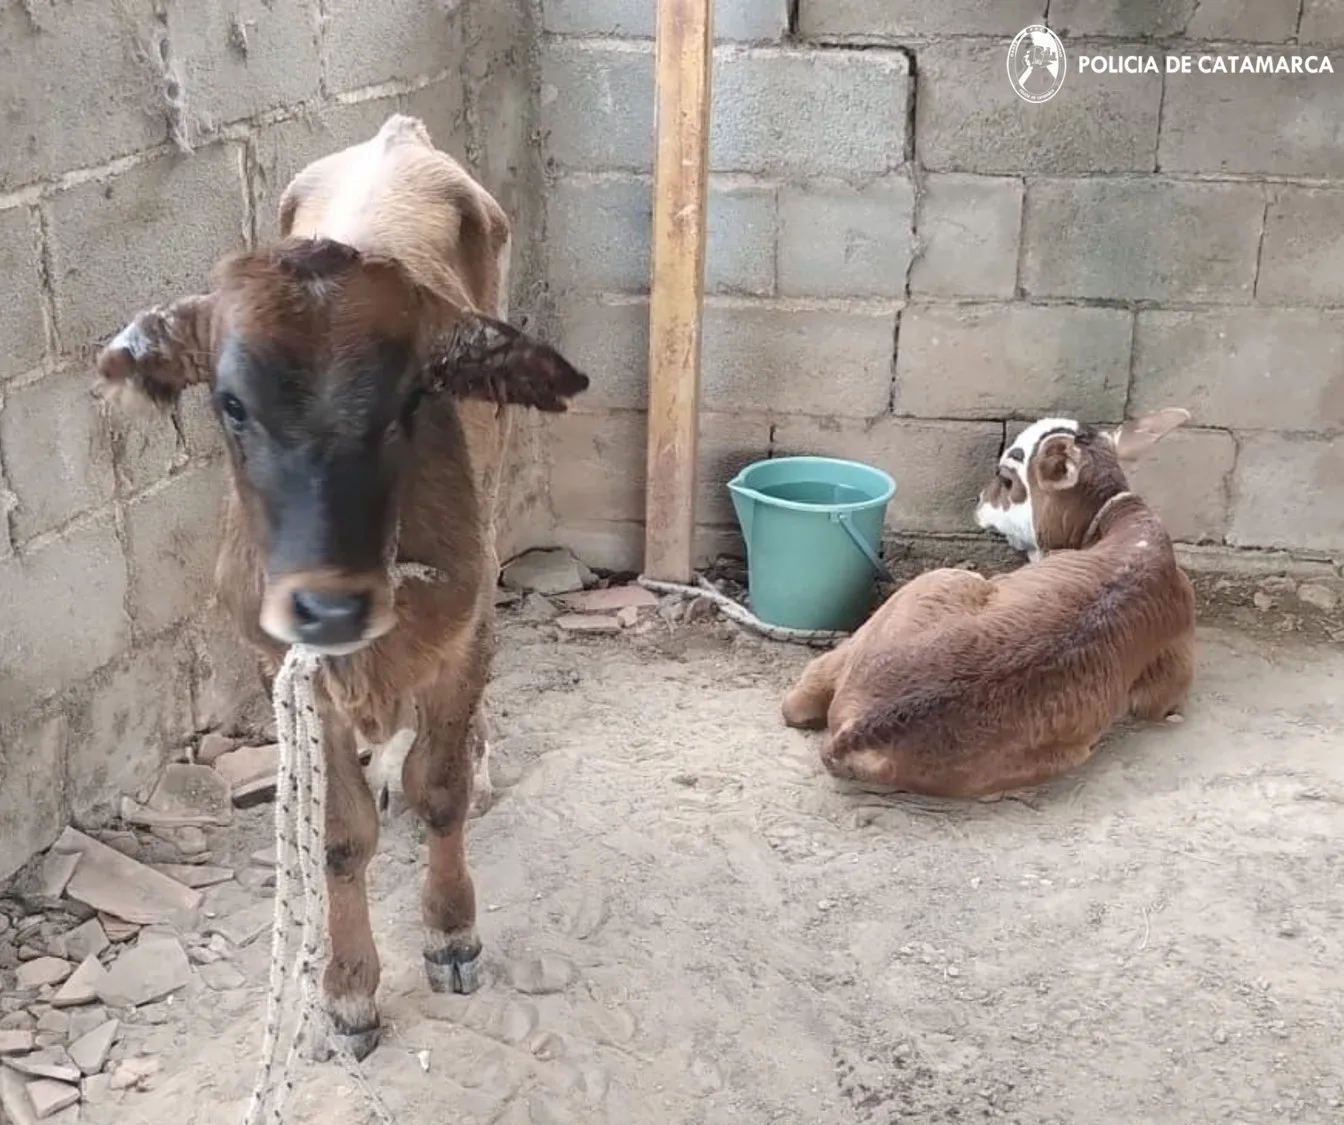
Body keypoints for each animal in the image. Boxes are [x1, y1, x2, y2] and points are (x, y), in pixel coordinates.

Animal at [94, 118, 588, 1059]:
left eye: (412, 399)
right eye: (230, 403)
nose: (330, 606)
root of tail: (398, 135)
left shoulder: (462, 628)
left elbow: (442, 792)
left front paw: (450, 931)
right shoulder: (282, 669)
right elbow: (338, 834)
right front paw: (348, 988)